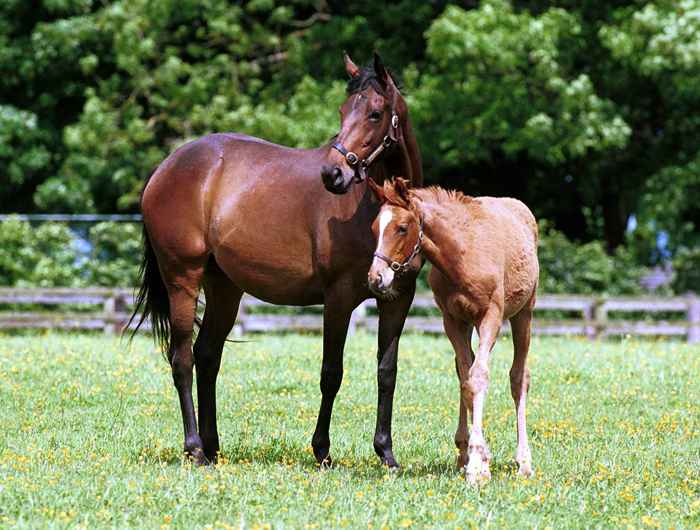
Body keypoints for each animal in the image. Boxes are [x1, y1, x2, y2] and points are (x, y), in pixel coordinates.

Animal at [129, 54, 424, 466]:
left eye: (375, 113)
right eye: (343, 110)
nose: (333, 174)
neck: (374, 209)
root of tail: (165, 168)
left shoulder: (398, 299)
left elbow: (387, 372)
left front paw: (386, 453)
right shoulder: (338, 298)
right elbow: (331, 373)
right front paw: (322, 451)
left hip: (224, 288)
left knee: (207, 356)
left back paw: (212, 445)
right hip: (182, 279)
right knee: (182, 359)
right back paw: (195, 448)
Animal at [366, 178, 540, 482]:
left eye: (402, 227)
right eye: (375, 228)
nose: (376, 278)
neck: (462, 254)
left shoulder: (491, 317)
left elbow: (479, 376)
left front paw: (478, 465)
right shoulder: (452, 320)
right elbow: (466, 379)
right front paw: (473, 455)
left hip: (523, 313)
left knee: (519, 377)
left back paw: (524, 461)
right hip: (469, 323)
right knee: (464, 370)